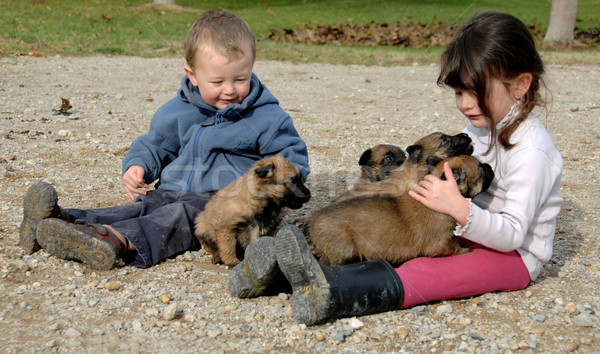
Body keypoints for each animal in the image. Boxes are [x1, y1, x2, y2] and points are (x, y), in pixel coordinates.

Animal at [308, 155, 494, 266]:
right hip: (344, 249)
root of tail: (312, 222)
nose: (489, 166)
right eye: (481, 169)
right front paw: (466, 250)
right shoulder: (442, 241)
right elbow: (454, 247)